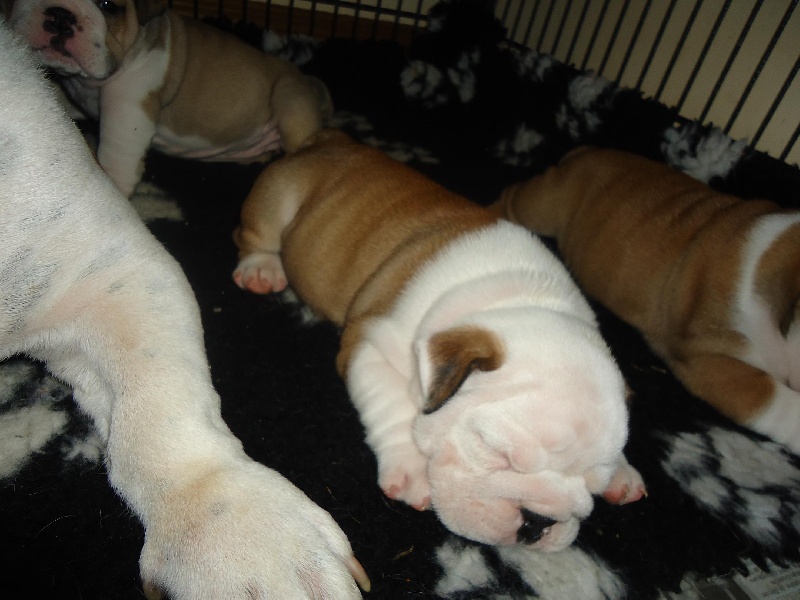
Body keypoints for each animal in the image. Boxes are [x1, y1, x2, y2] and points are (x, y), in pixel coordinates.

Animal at [232, 130, 645, 551]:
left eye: (593, 487)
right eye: (495, 452)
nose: (538, 523)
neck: (523, 297)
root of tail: (327, 138)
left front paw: (623, 472)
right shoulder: (369, 343)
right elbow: (393, 405)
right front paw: (413, 468)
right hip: (277, 198)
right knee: (255, 234)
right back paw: (262, 268)